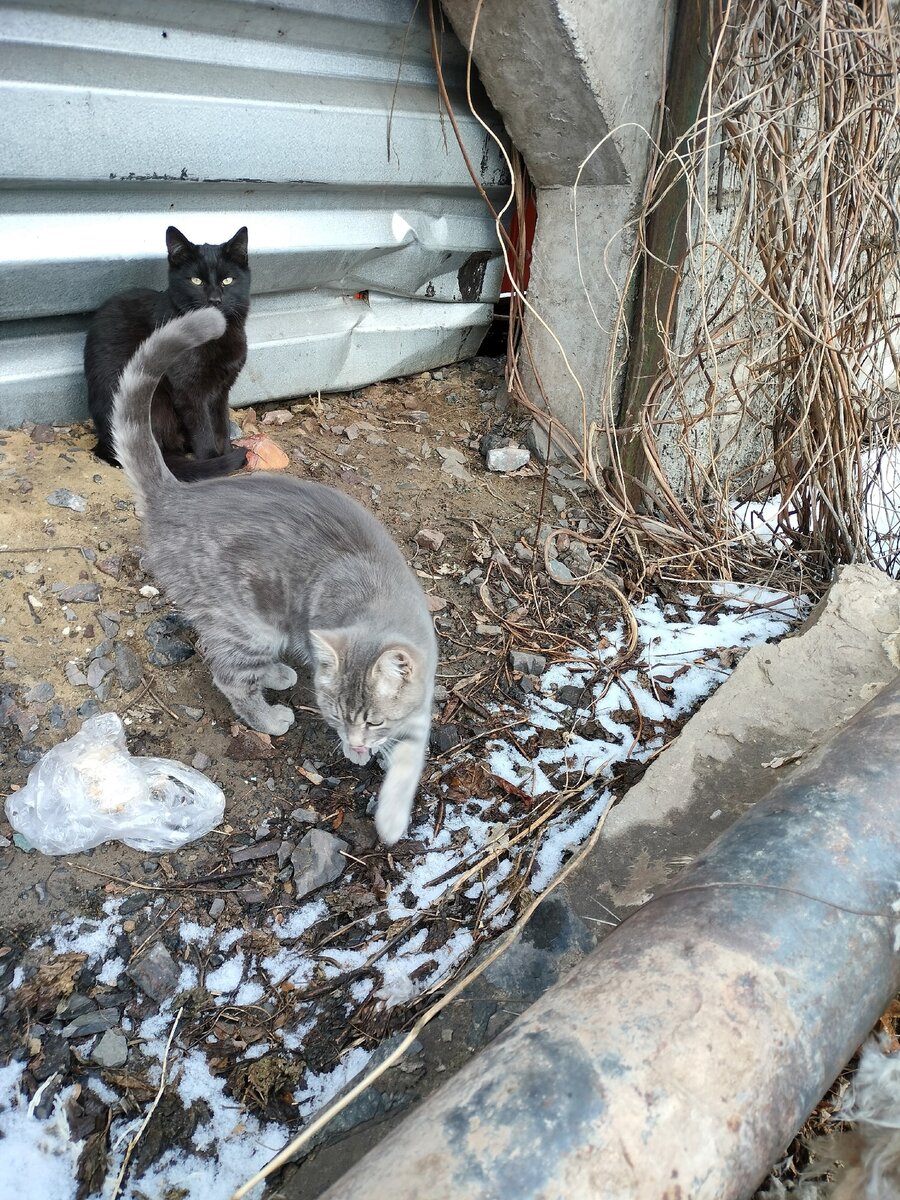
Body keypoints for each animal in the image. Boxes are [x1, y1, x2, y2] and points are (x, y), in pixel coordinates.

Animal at [84, 225, 250, 477]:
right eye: (196, 281)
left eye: (228, 280)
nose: (215, 299)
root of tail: (105, 443)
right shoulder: (188, 391)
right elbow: (204, 429)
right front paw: (214, 460)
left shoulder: (222, 388)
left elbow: (221, 423)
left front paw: (227, 452)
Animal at [112, 304, 436, 844]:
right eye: (336, 715)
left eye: (373, 721)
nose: (356, 743)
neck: (378, 598)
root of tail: (174, 496)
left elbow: (411, 750)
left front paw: (391, 804)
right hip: (248, 625)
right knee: (229, 675)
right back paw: (267, 713)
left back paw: (281, 673)